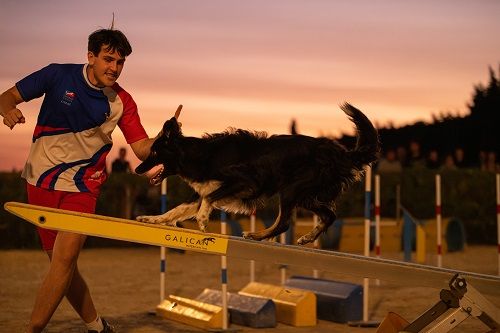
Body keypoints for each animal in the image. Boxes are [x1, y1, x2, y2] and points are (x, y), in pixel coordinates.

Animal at [136, 103, 378, 244]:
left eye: (155, 151)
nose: (137, 169)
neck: (203, 154)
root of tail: (341, 153)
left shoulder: (244, 181)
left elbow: (208, 199)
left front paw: (203, 219)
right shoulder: (204, 189)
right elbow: (175, 210)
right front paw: (151, 219)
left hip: (292, 190)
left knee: (284, 223)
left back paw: (256, 235)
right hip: (304, 195)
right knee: (329, 215)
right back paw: (306, 237)